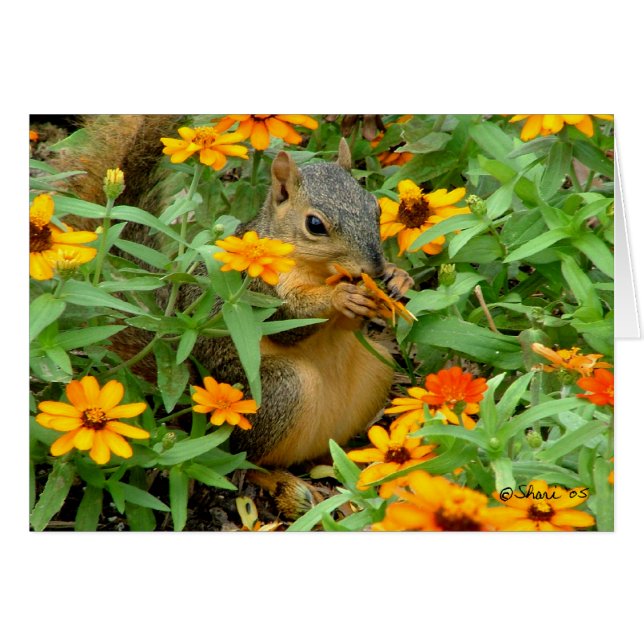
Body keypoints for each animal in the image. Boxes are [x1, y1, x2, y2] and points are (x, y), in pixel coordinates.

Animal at [51, 115, 414, 518]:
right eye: (315, 225)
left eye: (376, 209)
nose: (374, 267)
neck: (319, 270)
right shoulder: (257, 290)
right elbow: (288, 323)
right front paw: (342, 296)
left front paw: (398, 277)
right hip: (277, 392)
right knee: (243, 459)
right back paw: (286, 484)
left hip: (377, 367)